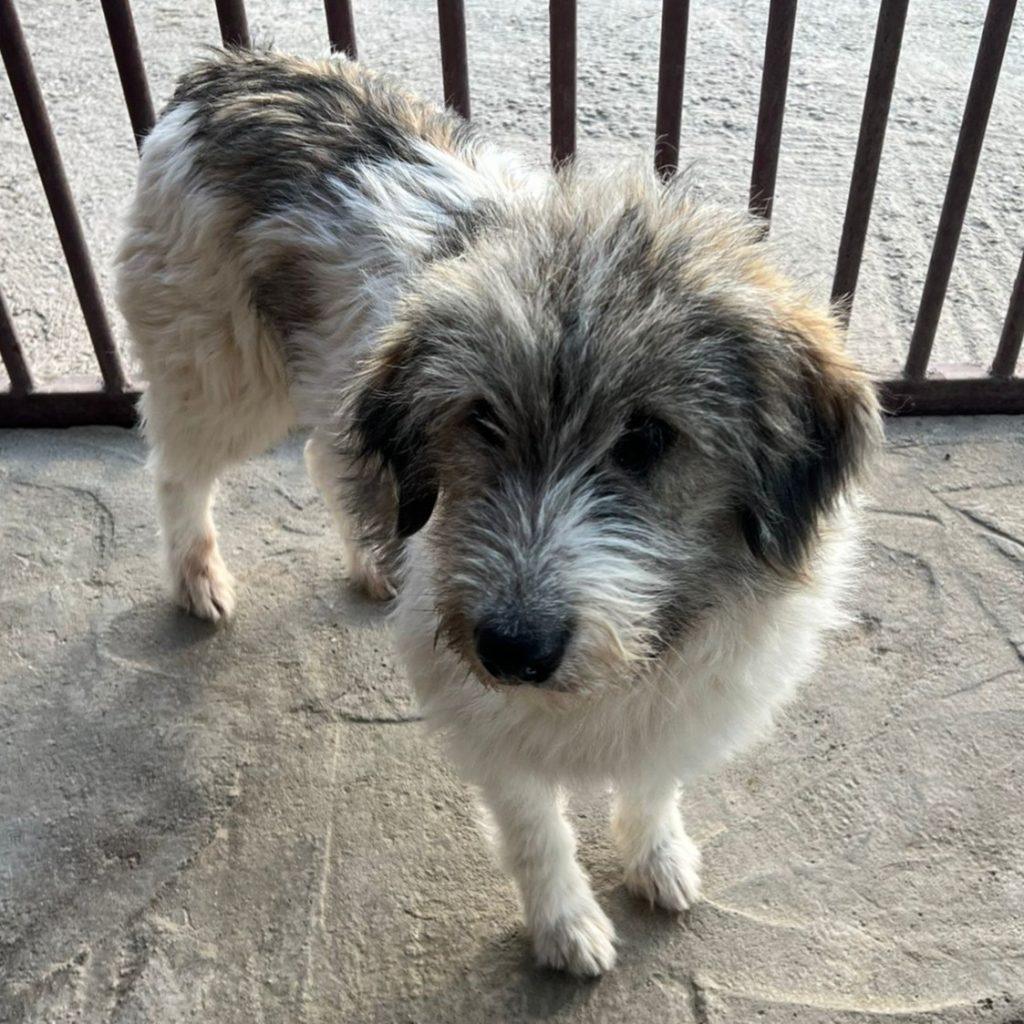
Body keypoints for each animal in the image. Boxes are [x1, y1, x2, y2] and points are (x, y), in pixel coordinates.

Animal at [116, 48, 881, 976]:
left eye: (649, 437)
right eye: (481, 418)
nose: (512, 648)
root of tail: (229, 67)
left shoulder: (679, 703)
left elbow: (652, 782)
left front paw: (656, 856)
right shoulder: (486, 723)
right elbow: (534, 832)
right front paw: (566, 926)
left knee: (322, 455)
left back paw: (370, 561)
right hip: (223, 376)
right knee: (177, 470)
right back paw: (197, 578)